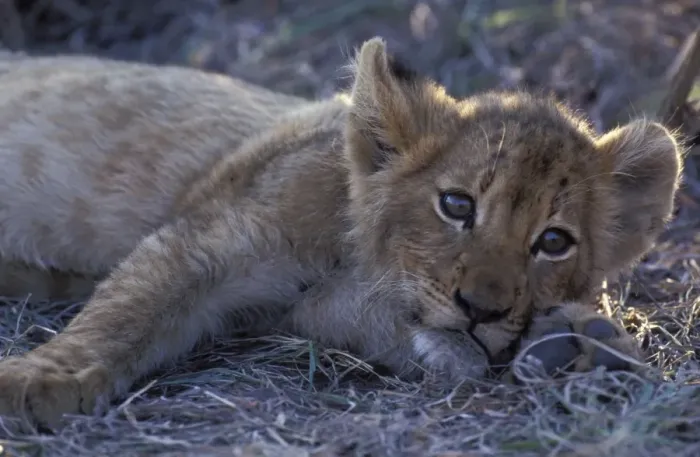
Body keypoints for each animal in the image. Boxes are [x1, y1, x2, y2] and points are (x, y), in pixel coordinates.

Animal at [0, 37, 683, 432]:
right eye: (456, 204)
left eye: (553, 242)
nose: (482, 311)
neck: (352, 260)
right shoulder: (213, 238)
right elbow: (126, 313)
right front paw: (30, 384)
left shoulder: (295, 314)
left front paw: (579, 345)